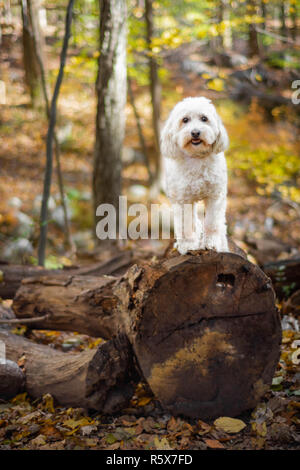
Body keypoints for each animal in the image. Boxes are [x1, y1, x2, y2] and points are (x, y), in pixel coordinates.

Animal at [162, 97, 230, 255]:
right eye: (185, 120)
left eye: (204, 118)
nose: (195, 132)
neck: (196, 157)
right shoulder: (183, 199)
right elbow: (186, 225)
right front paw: (188, 245)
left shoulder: (215, 196)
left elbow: (212, 222)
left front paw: (211, 243)